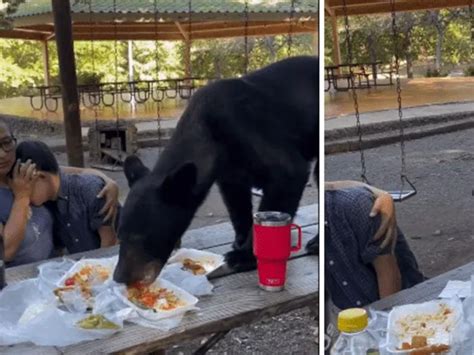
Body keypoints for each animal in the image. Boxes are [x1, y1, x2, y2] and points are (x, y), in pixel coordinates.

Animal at [112, 55, 316, 286]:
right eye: (119, 234)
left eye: (144, 238)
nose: (120, 277)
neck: (209, 134)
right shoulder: (230, 171)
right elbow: (236, 200)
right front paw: (240, 240)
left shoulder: (252, 131)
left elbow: (288, 173)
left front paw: (243, 256)